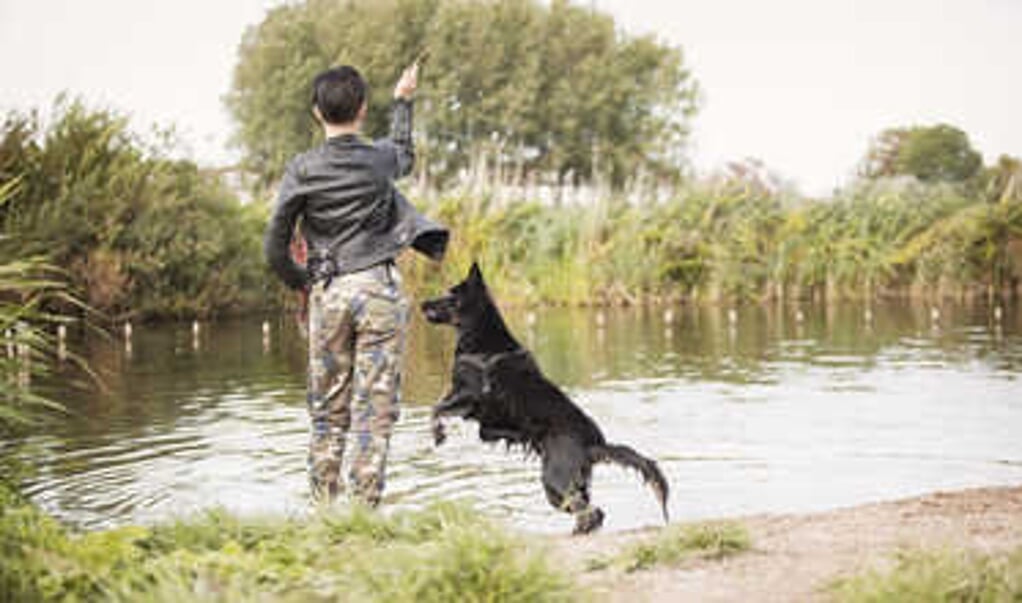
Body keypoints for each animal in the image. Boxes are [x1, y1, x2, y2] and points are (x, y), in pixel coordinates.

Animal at [423, 263, 670, 535]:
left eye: (451, 296)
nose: (423, 304)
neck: (482, 338)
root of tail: (594, 444)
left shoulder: (469, 395)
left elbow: (436, 408)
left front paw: (438, 434)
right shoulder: (474, 408)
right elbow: (454, 412)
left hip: (554, 478)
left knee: (589, 511)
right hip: (572, 482)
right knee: (590, 510)